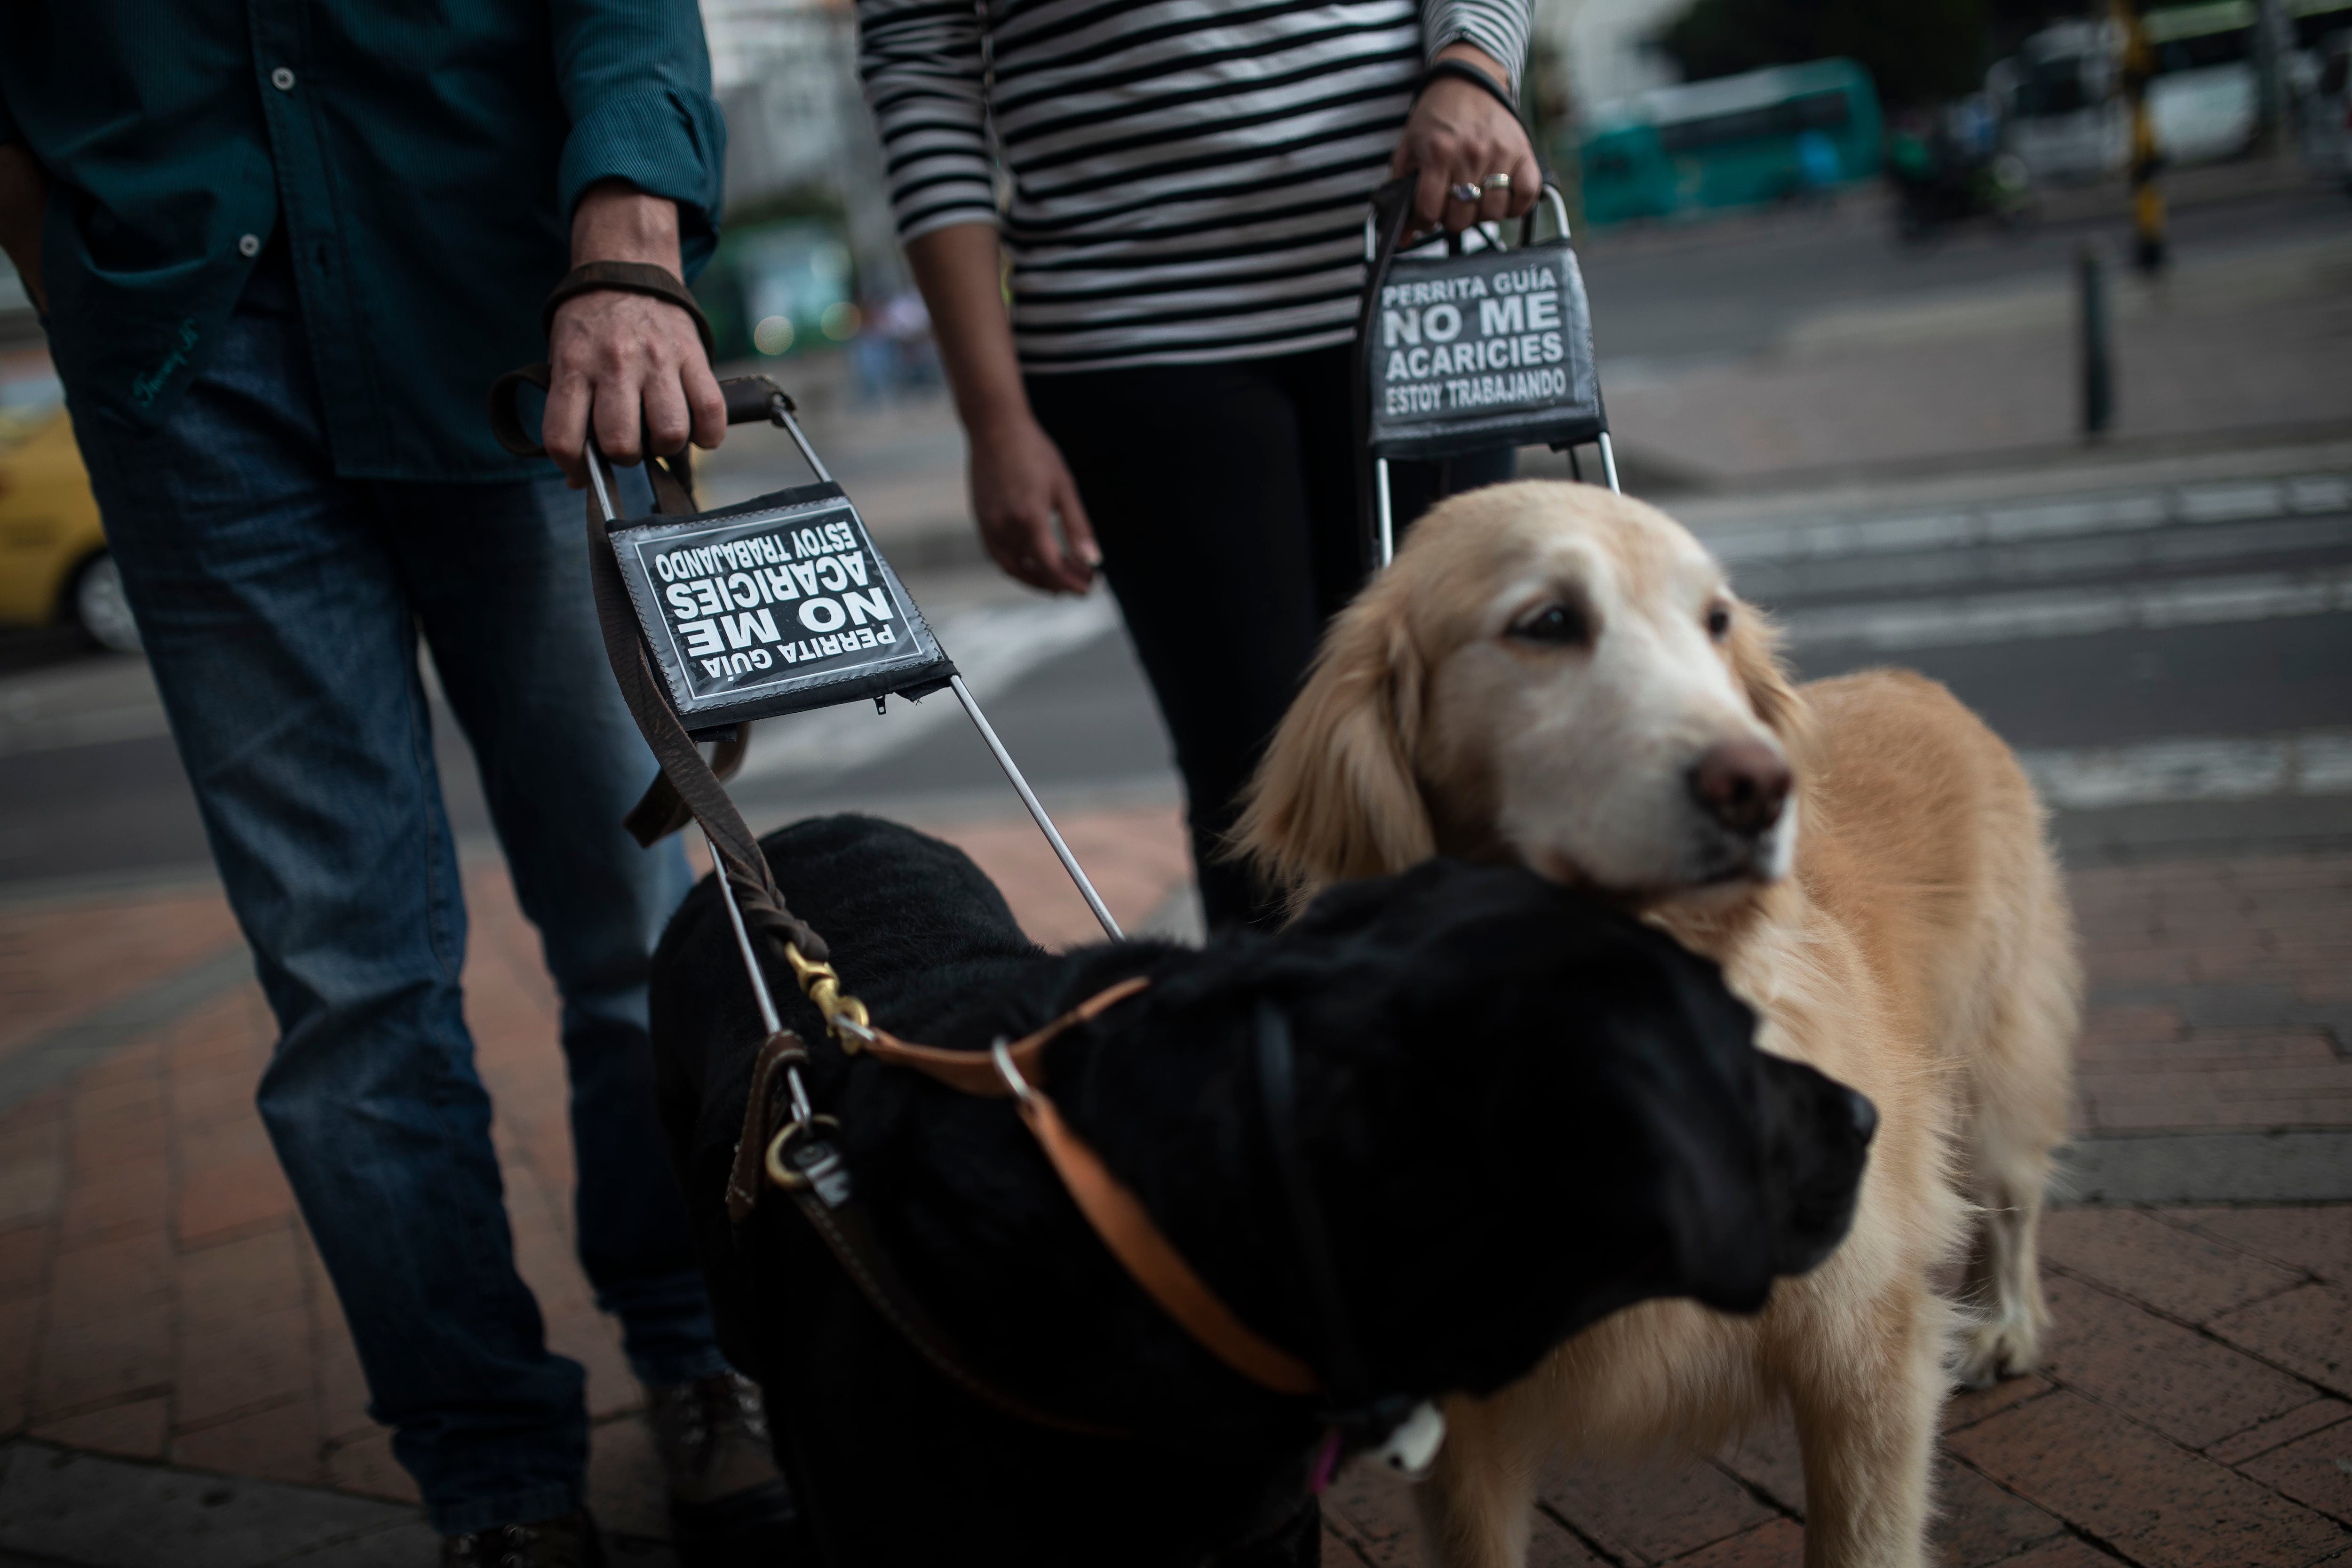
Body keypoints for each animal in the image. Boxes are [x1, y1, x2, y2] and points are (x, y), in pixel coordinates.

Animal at [1232, 482, 2079, 1568]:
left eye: (1715, 620)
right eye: (1548, 621)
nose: (1762, 785)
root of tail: (1914, 676)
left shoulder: (1862, 1354)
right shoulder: (1463, 1426)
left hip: (1990, 1057)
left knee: (2010, 1193)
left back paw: (2002, 1323)